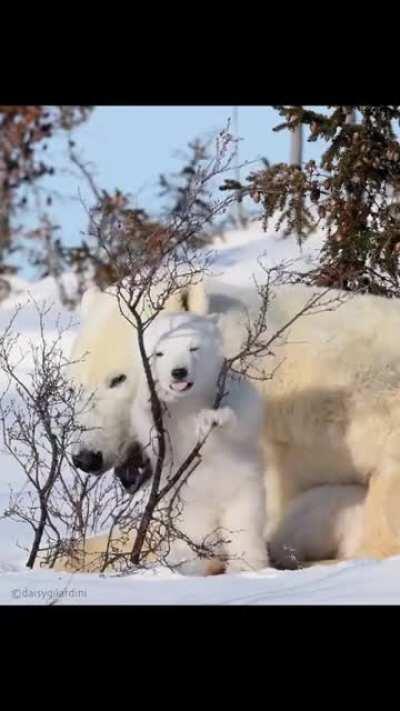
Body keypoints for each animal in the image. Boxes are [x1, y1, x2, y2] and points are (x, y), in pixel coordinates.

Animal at [130, 311, 268, 575]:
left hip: (242, 491)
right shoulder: (168, 423)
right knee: (192, 538)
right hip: (185, 510)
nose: (179, 372)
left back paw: (246, 566)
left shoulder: (227, 386)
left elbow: (247, 414)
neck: (189, 401)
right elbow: (153, 436)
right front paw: (153, 398)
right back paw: (190, 566)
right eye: (158, 353)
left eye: (193, 347)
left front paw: (211, 419)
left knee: (244, 527)